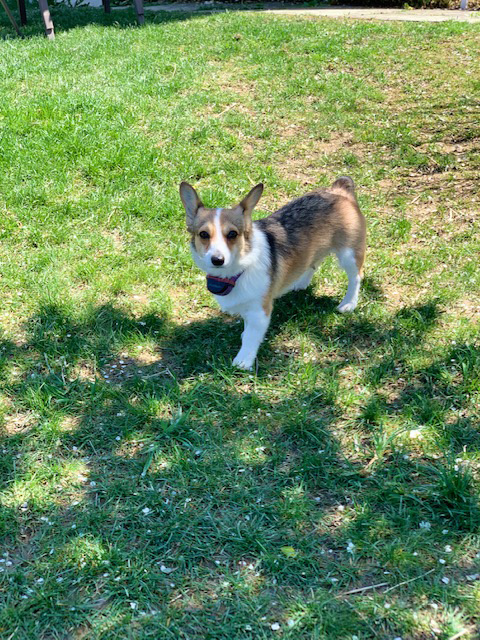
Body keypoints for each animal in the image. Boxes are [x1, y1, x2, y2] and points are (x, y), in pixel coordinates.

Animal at [181, 179, 368, 370]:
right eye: (204, 234)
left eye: (232, 234)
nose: (217, 260)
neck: (238, 271)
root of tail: (339, 189)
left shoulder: (259, 311)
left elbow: (250, 338)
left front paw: (243, 361)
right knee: (313, 263)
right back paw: (300, 283)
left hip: (349, 254)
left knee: (356, 277)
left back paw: (349, 303)